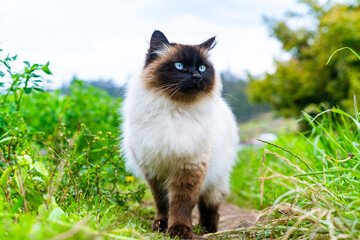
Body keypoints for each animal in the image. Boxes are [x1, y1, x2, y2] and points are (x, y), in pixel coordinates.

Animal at [121, 30, 239, 238]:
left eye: (202, 68)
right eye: (179, 66)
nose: (196, 76)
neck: (175, 111)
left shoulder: (190, 167)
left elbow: (181, 204)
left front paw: (179, 230)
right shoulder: (155, 170)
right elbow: (162, 204)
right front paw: (161, 226)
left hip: (215, 179)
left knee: (210, 207)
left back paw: (207, 230)